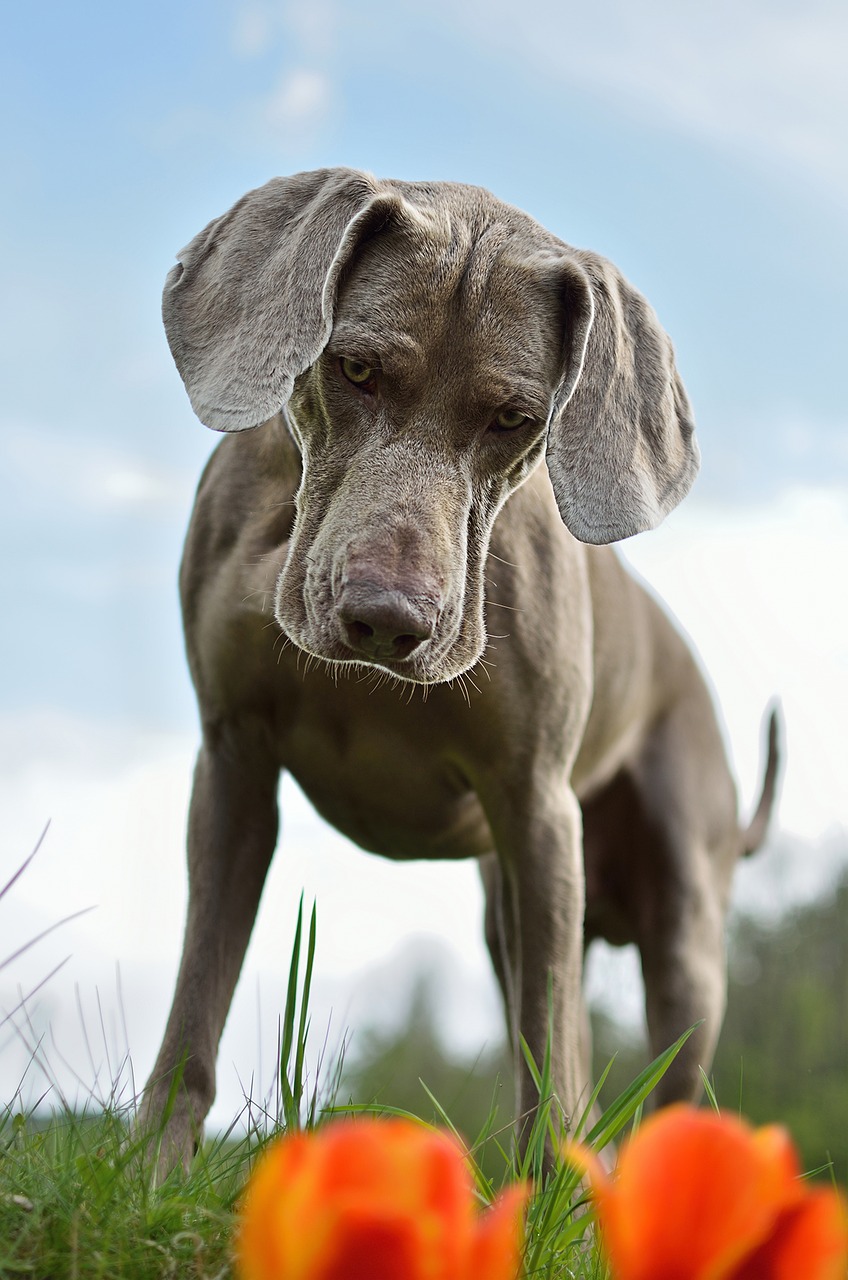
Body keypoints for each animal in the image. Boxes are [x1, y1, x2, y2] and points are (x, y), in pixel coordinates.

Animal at [137, 167, 778, 1172]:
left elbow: (547, 1056)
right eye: (355, 368)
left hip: (683, 928)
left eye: (515, 419)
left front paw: (538, 1196)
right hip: (512, 908)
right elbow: (198, 991)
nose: (388, 621)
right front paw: (152, 1167)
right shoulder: (233, 758)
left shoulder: (535, 799)